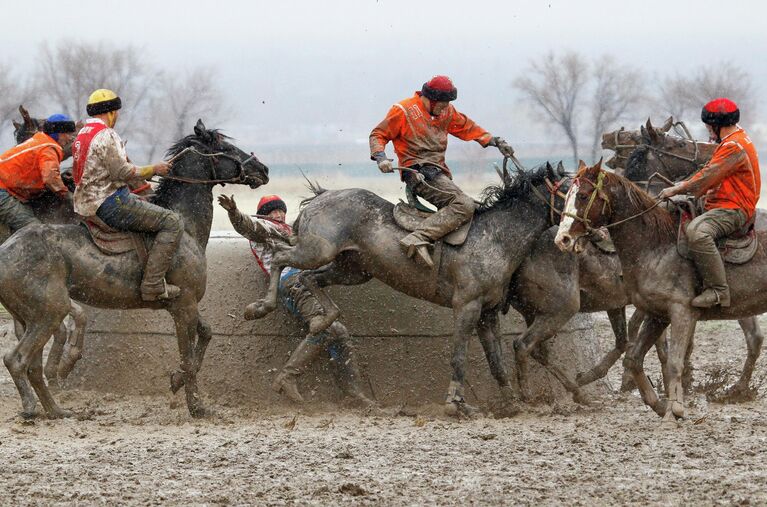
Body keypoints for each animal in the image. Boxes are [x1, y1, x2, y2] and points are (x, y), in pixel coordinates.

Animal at [0, 121, 270, 418]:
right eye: (225, 147)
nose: (264, 170)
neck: (185, 225)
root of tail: (5, 250)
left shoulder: (183, 304)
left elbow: (207, 333)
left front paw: (176, 380)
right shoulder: (184, 305)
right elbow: (188, 357)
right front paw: (197, 406)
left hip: (30, 316)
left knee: (33, 366)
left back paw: (57, 410)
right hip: (49, 312)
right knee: (17, 359)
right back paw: (32, 407)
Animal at [556, 161, 767, 426]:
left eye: (583, 195)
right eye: (566, 196)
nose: (562, 239)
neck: (656, 246)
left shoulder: (682, 312)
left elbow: (675, 362)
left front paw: (674, 410)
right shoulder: (657, 315)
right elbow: (634, 359)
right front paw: (659, 404)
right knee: (754, 339)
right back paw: (737, 390)